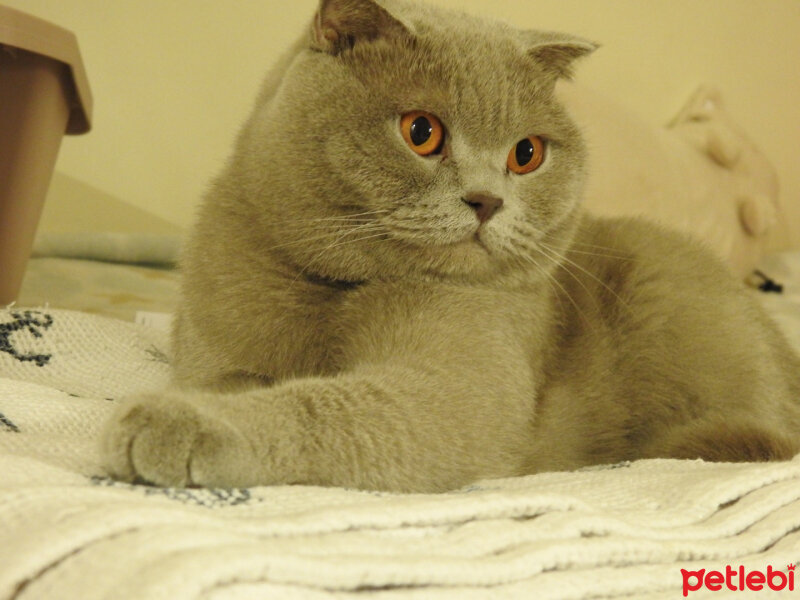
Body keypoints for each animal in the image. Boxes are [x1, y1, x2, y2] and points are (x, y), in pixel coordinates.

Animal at [98, 0, 800, 492]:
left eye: (526, 153)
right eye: (422, 132)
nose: (486, 200)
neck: (329, 289)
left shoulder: (460, 387)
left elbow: (331, 405)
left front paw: (178, 422)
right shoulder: (211, 344)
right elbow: (232, 379)